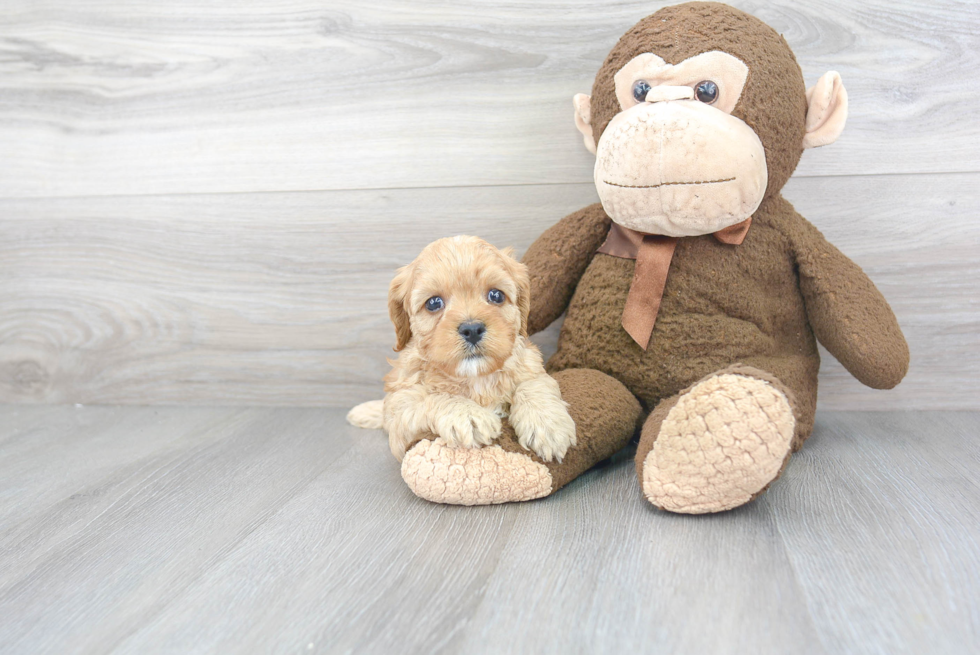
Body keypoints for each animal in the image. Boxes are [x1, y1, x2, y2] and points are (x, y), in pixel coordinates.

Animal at [346, 234, 576, 462]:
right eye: (433, 303)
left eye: (496, 295)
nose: (472, 329)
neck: (476, 378)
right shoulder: (401, 413)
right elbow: (432, 398)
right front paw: (468, 414)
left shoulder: (531, 366)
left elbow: (534, 384)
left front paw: (547, 425)